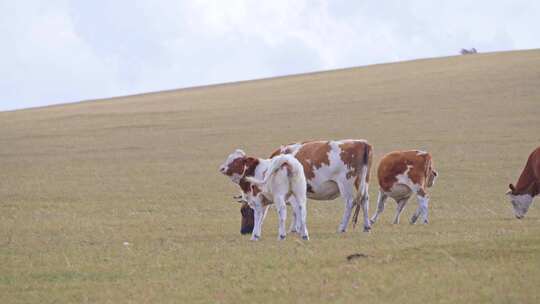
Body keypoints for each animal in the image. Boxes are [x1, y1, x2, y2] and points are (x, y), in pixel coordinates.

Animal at [218, 139, 372, 234]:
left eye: (244, 211)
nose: (243, 231)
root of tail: (362, 143)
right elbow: (295, 211)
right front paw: (295, 228)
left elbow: (296, 210)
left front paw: (296, 229)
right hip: (364, 183)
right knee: (364, 200)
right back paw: (367, 226)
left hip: (346, 184)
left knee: (350, 203)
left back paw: (342, 227)